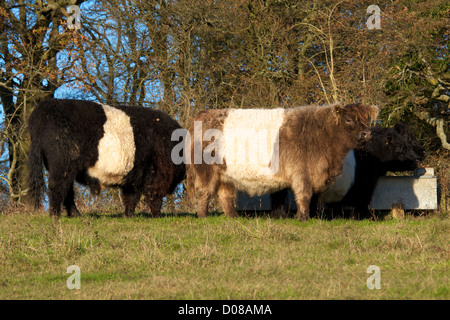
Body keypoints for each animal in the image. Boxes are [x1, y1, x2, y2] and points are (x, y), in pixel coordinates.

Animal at [26, 97, 185, 218]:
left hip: (63, 168)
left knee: (67, 191)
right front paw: (157, 216)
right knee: (57, 188)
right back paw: (55, 215)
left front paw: (129, 216)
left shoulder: (133, 177)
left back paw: (75, 214)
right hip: (61, 165)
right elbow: (153, 196)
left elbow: (130, 198)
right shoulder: (157, 174)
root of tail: (46, 106)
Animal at [186, 102, 380, 220]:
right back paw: (203, 216)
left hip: (226, 174)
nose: (367, 133)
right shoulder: (301, 173)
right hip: (206, 171)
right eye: (349, 119)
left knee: (225, 195)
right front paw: (303, 218)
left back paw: (233, 217)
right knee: (204, 192)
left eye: (367, 120)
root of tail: (203, 114)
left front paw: (313, 217)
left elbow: (314, 198)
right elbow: (304, 195)